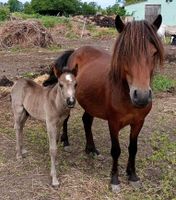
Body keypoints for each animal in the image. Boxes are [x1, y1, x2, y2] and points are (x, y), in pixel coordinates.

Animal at [43, 14, 164, 191]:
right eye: (124, 53)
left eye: (154, 53)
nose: (141, 96)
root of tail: (76, 51)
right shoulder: (113, 123)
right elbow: (116, 150)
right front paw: (115, 180)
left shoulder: (138, 122)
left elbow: (133, 148)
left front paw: (133, 176)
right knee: (66, 119)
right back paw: (66, 141)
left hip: (91, 104)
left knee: (86, 121)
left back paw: (91, 149)